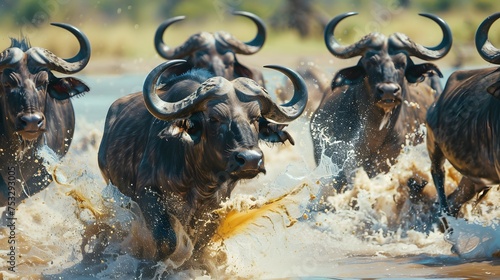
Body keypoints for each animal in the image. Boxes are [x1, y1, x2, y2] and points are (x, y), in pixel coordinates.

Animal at [96, 60, 308, 264]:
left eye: (255, 118)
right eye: (214, 118)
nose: (250, 159)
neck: (198, 177)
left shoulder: (215, 205)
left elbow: (200, 245)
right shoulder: (147, 194)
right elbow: (167, 240)